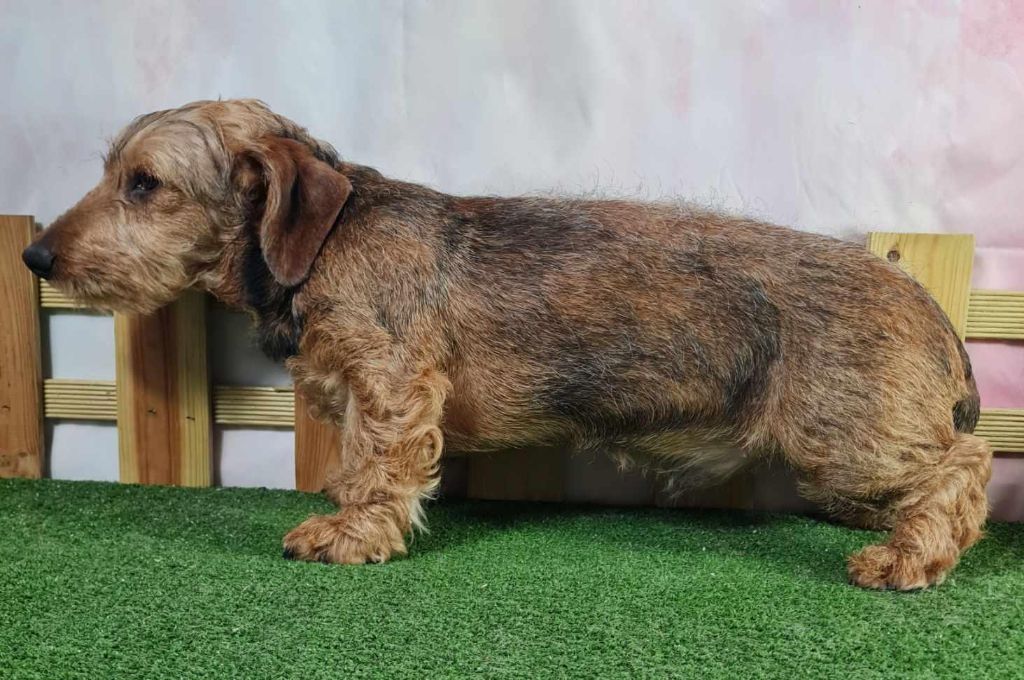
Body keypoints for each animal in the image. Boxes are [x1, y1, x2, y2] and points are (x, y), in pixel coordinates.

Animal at [24, 99, 991, 590]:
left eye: (144, 183)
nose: (35, 257)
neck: (328, 237)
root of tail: (923, 298)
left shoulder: (393, 387)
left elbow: (380, 465)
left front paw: (351, 535)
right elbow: (353, 460)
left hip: (844, 441)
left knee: (965, 465)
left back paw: (910, 556)